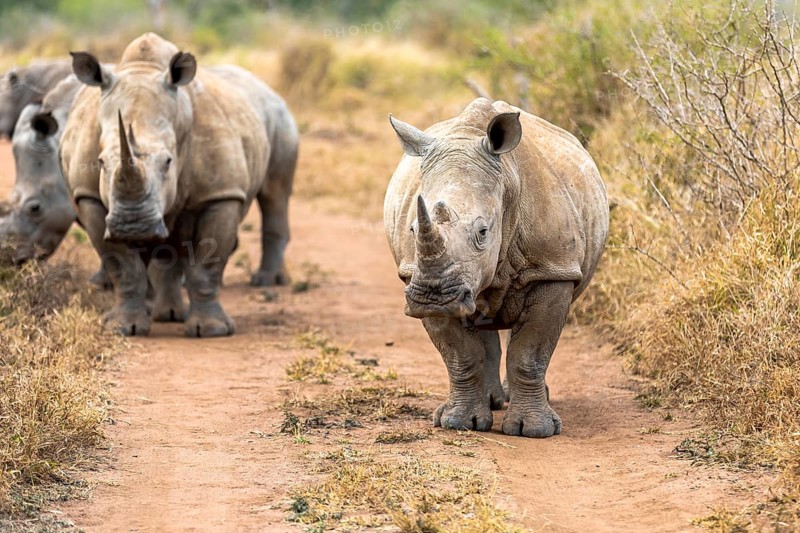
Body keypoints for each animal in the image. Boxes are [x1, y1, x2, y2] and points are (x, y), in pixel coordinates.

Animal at [61, 33, 294, 337]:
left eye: (168, 161)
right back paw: (168, 315)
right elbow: (123, 266)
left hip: (279, 118)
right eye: (100, 162)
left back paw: (267, 281)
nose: (132, 226)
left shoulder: (221, 195)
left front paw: (211, 331)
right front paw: (123, 328)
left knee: (275, 195)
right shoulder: (88, 196)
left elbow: (208, 263)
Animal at [384, 98, 609, 438]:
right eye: (412, 229)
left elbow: (530, 353)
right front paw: (458, 422)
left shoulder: (553, 269)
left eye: (483, 232)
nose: (433, 297)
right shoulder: (417, 274)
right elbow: (461, 354)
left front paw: (535, 430)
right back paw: (492, 402)